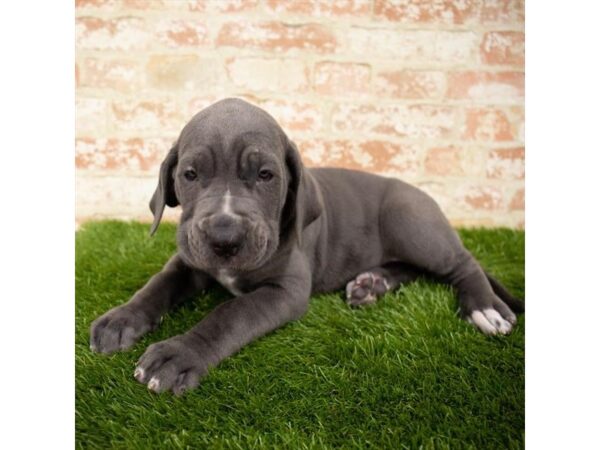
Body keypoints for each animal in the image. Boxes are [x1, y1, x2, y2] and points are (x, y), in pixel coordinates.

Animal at [90, 97, 524, 394]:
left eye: (266, 175)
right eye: (190, 174)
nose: (224, 237)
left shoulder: (286, 291)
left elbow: (229, 315)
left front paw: (180, 354)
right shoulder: (190, 260)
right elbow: (157, 284)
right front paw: (121, 319)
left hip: (411, 222)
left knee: (463, 263)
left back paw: (484, 307)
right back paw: (371, 284)